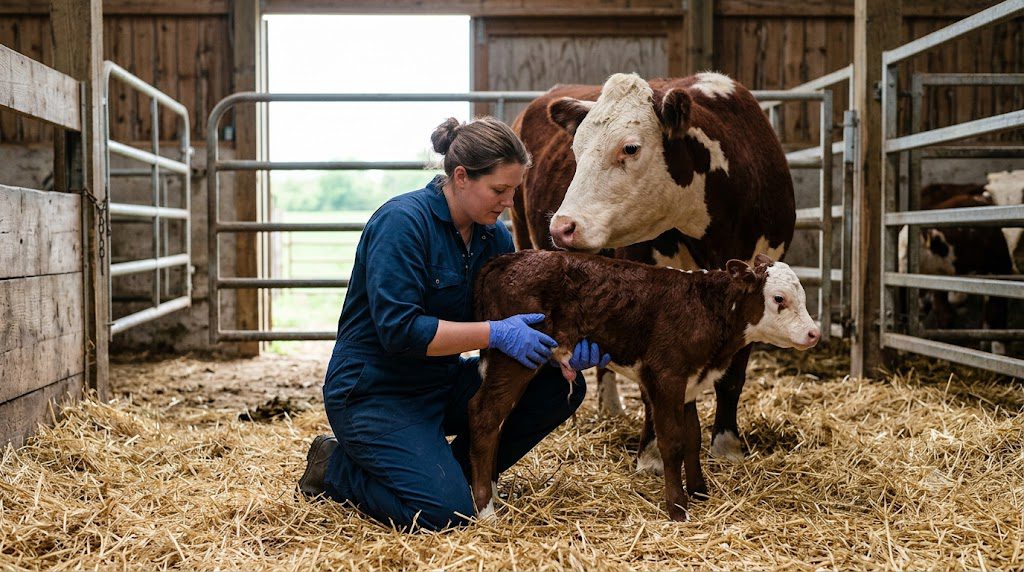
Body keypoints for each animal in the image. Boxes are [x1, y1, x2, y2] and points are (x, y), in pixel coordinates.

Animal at [469, 251, 819, 521]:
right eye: (779, 299)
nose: (814, 333)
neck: (706, 310)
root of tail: (508, 258)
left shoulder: (690, 383)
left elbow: (693, 438)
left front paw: (699, 492)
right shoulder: (665, 376)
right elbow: (672, 441)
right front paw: (678, 507)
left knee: (498, 420)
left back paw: (494, 495)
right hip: (515, 355)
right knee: (484, 416)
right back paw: (486, 510)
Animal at [509, 72, 796, 468]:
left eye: (630, 148)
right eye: (576, 149)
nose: (562, 227)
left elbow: (732, 376)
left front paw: (727, 446)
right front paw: (652, 454)